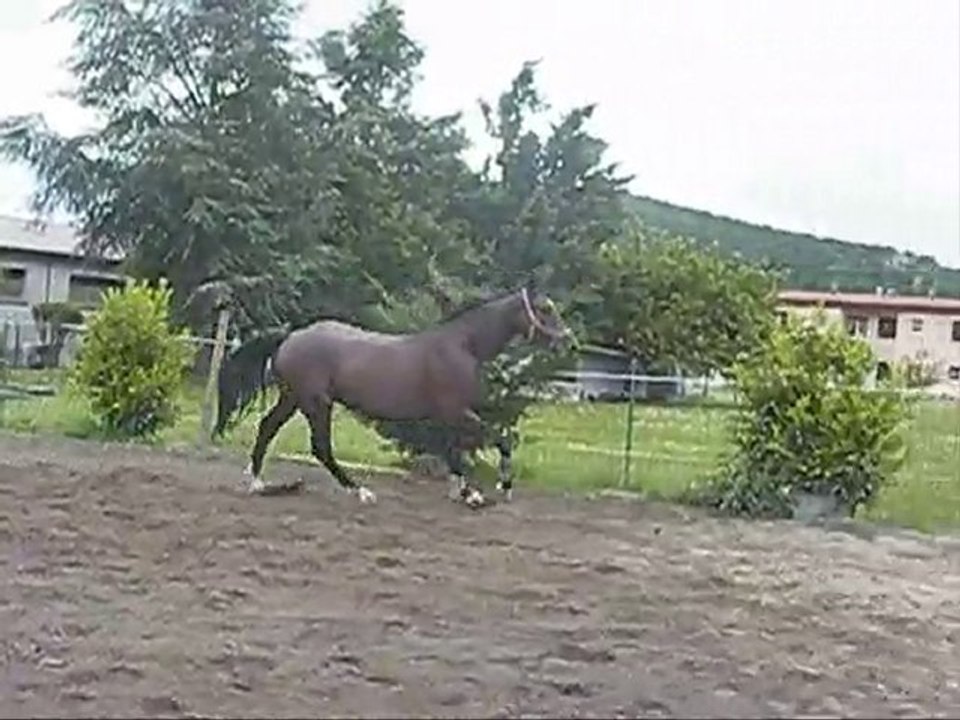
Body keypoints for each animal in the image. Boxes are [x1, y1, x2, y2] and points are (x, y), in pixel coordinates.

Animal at [212, 282, 571, 508]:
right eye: (545, 308)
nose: (568, 340)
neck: (462, 346)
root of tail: (290, 336)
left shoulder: (445, 415)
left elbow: (453, 452)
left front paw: (463, 492)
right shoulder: (456, 410)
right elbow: (498, 440)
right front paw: (491, 490)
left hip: (293, 398)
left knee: (267, 428)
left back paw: (257, 483)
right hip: (316, 403)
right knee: (320, 447)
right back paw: (360, 492)